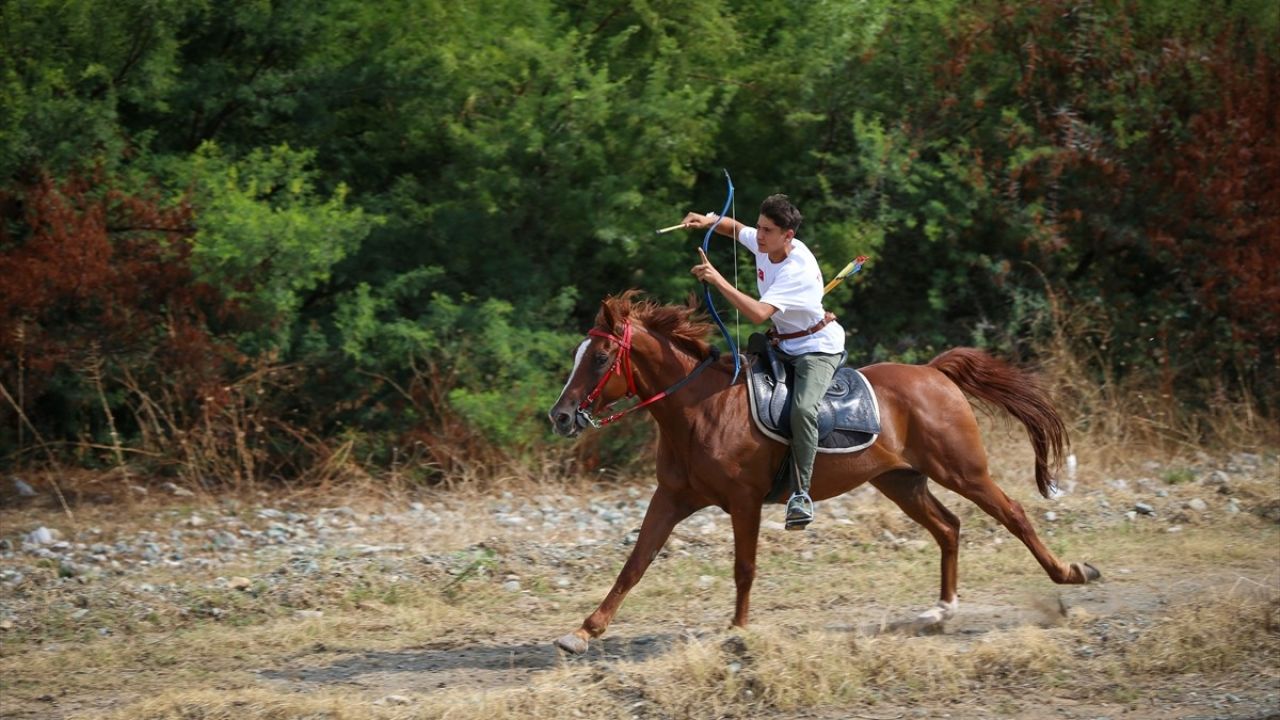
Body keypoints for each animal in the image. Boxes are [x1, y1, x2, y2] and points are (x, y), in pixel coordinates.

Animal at [545, 289, 1095, 650]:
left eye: (600, 358)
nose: (561, 416)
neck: (699, 409)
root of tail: (934, 372)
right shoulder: (672, 498)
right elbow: (635, 563)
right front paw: (584, 630)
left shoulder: (743, 501)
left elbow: (743, 567)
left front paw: (738, 631)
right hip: (900, 481)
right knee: (948, 527)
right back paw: (941, 611)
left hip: (963, 471)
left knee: (1013, 513)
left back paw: (1071, 572)